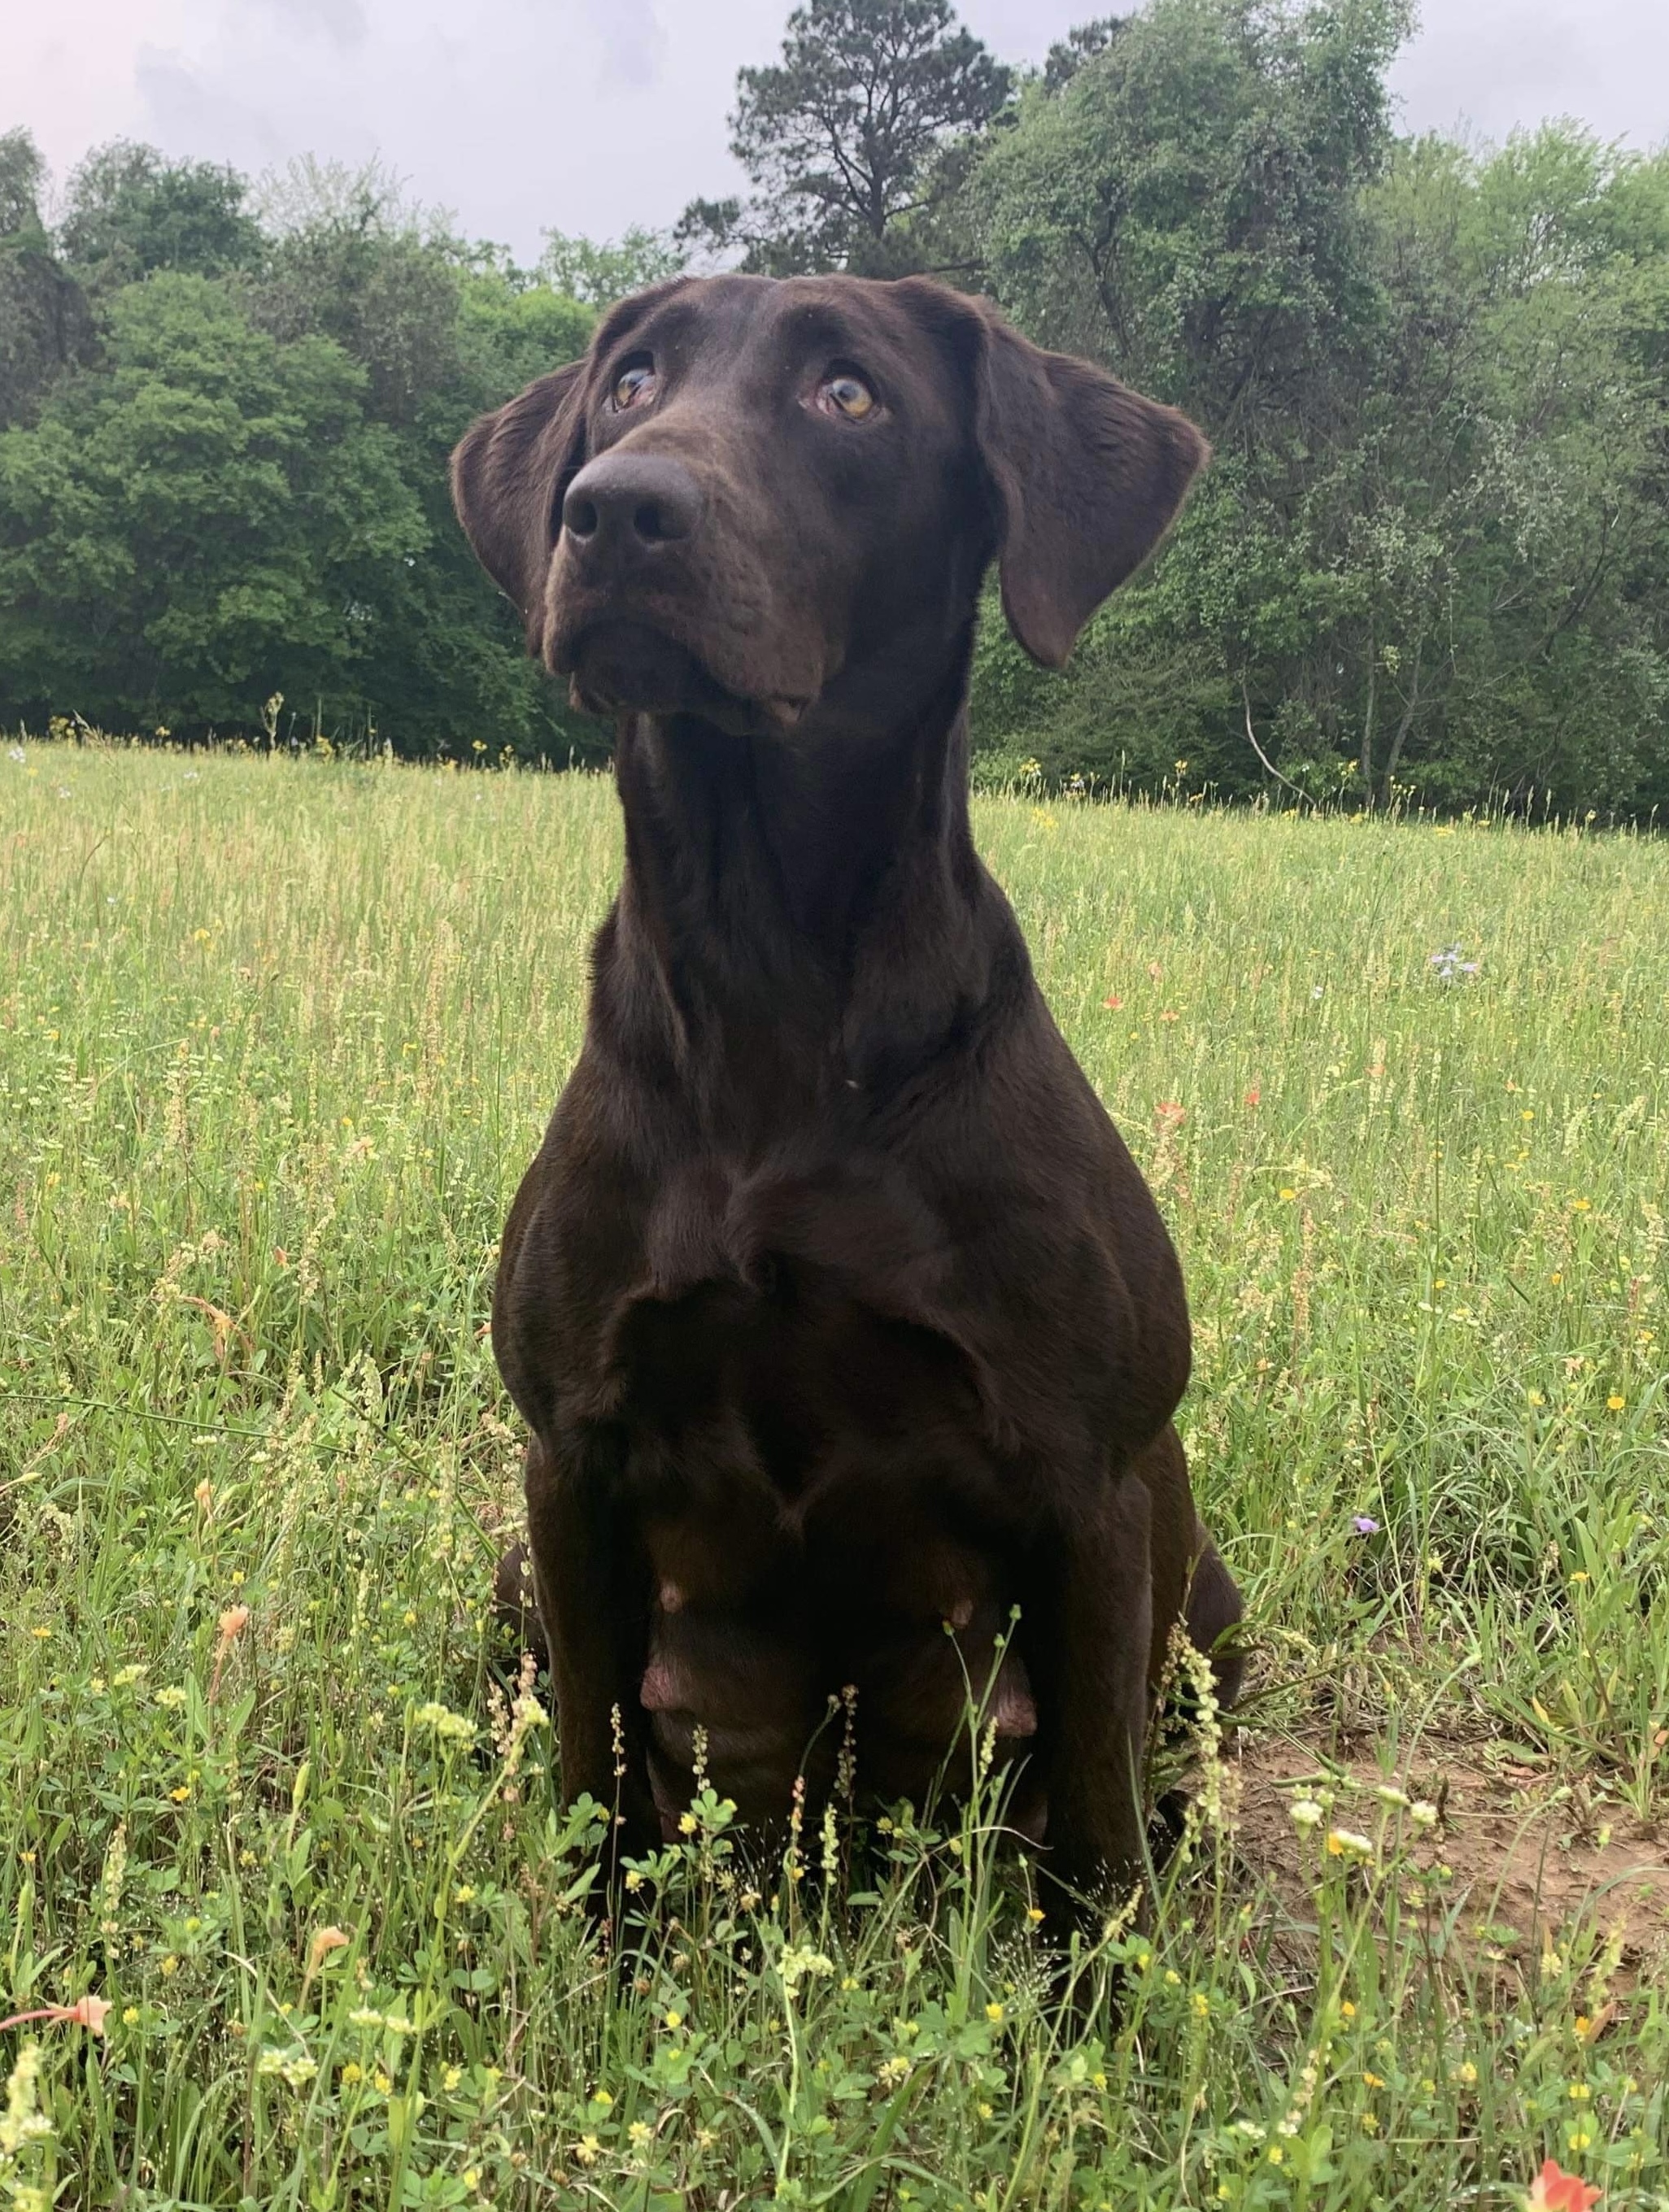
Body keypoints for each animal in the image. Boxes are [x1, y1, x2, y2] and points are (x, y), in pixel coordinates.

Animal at [451, 268, 1240, 1911]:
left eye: (850, 396)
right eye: (629, 383)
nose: (617, 513)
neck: (776, 1001)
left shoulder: (1094, 1488)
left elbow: (1098, 1827)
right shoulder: (569, 1462)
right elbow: (594, 1788)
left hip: (1198, 1572)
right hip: (511, 1572)